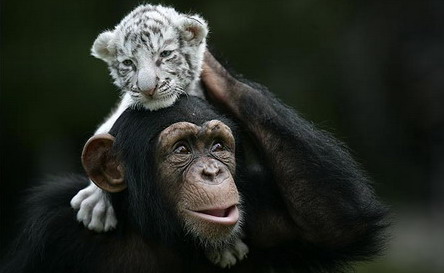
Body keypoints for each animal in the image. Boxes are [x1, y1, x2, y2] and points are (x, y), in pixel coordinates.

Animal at [0, 52, 386, 270]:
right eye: (182, 150)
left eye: (217, 146)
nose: (212, 171)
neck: (161, 234)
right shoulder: (54, 232)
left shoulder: (264, 212)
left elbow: (335, 224)